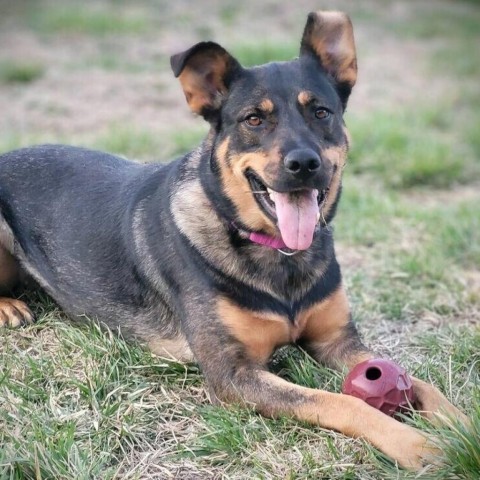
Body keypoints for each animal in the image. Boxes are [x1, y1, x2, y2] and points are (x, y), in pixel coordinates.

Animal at [0, 10, 466, 468]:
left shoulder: (338, 340)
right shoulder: (233, 374)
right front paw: (417, 444)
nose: (304, 163)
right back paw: (10, 307)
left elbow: (419, 383)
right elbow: (340, 401)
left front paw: (461, 424)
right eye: (254, 119)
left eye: (321, 112)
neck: (278, 255)